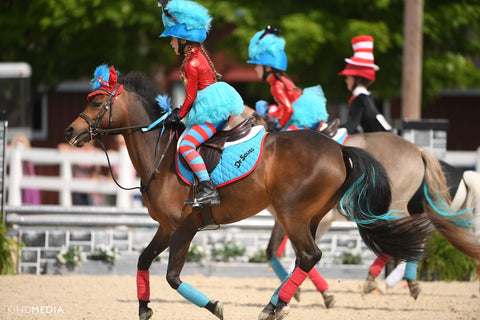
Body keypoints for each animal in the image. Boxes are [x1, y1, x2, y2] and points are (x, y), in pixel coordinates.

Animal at [62, 68, 434, 320]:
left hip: (292, 214)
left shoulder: (184, 229)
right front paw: (143, 308)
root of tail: (339, 148)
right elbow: (142, 261)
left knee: (309, 256)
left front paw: (214, 305)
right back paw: (284, 303)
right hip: (308, 217)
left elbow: (172, 276)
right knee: (304, 258)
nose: (70, 130)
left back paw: (274, 307)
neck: (161, 156)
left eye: (98, 101)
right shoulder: (166, 228)